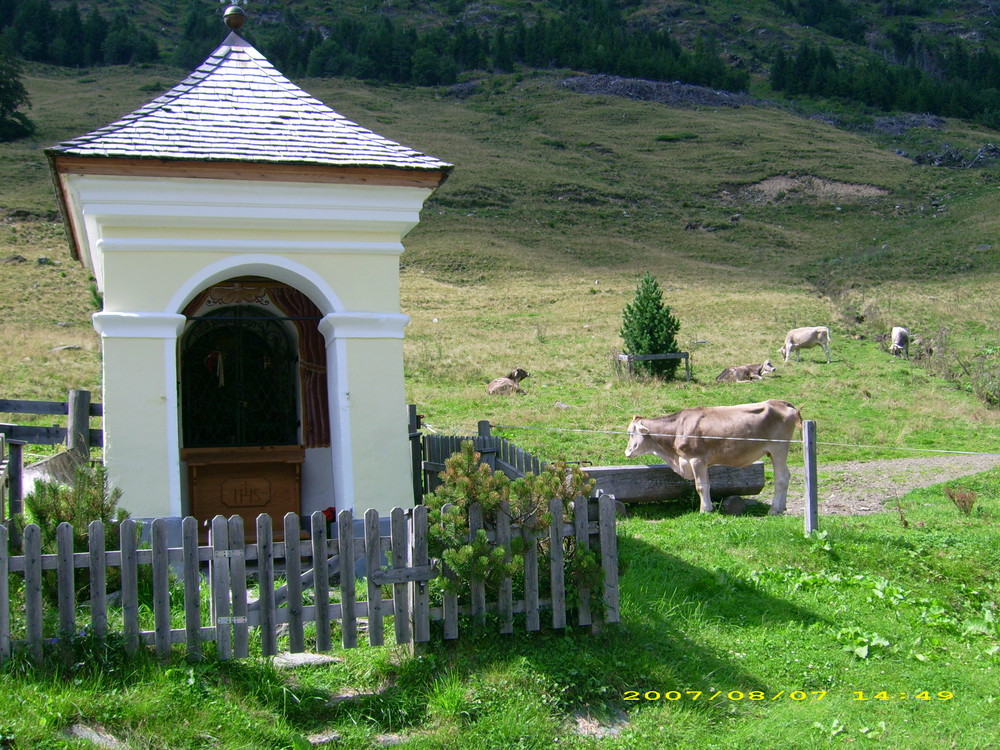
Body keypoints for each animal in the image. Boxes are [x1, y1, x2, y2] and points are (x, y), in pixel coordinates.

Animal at [624, 400, 804, 516]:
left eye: (630, 432)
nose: (627, 452)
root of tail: (781, 403)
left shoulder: (697, 459)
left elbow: (701, 486)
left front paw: (705, 510)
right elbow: (707, 484)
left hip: (778, 449)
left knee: (781, 478)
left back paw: (774, 509)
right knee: (786, 476)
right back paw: (781, 507)